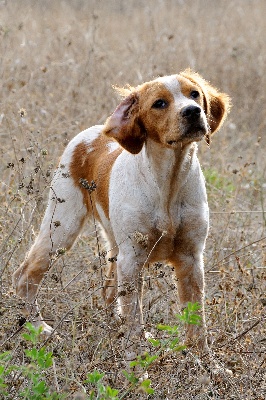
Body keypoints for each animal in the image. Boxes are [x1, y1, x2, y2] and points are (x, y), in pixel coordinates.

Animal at [13, 69, 231, 360]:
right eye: (159, 103)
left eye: (194, 94)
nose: (193, 112)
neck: (167, 183)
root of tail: (92, 133)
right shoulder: (133, 258)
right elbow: (134, 317)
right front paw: (138, 360)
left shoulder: (191, 258)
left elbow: (197, 323)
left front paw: (206, 363)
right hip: (62, 227)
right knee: (25, 274)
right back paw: (38, 328)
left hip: (112, 246)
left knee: (108, 292)